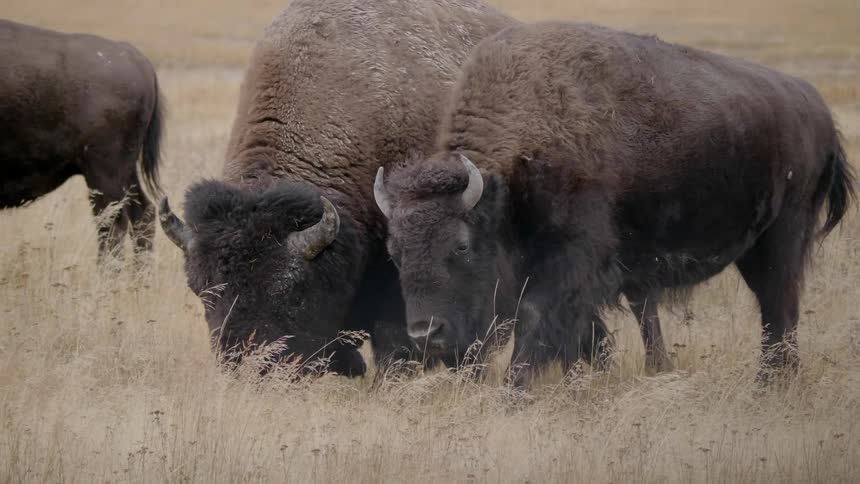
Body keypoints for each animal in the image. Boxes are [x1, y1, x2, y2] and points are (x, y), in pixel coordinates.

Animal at [374, 22, 855, 387]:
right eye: (394, 253)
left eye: (461, 245)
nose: (425, 333)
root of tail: (817, 110)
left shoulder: (569, 263)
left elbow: (537, 319)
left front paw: (516, 389)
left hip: (781, 239)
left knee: (779, 308)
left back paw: (770, 383)